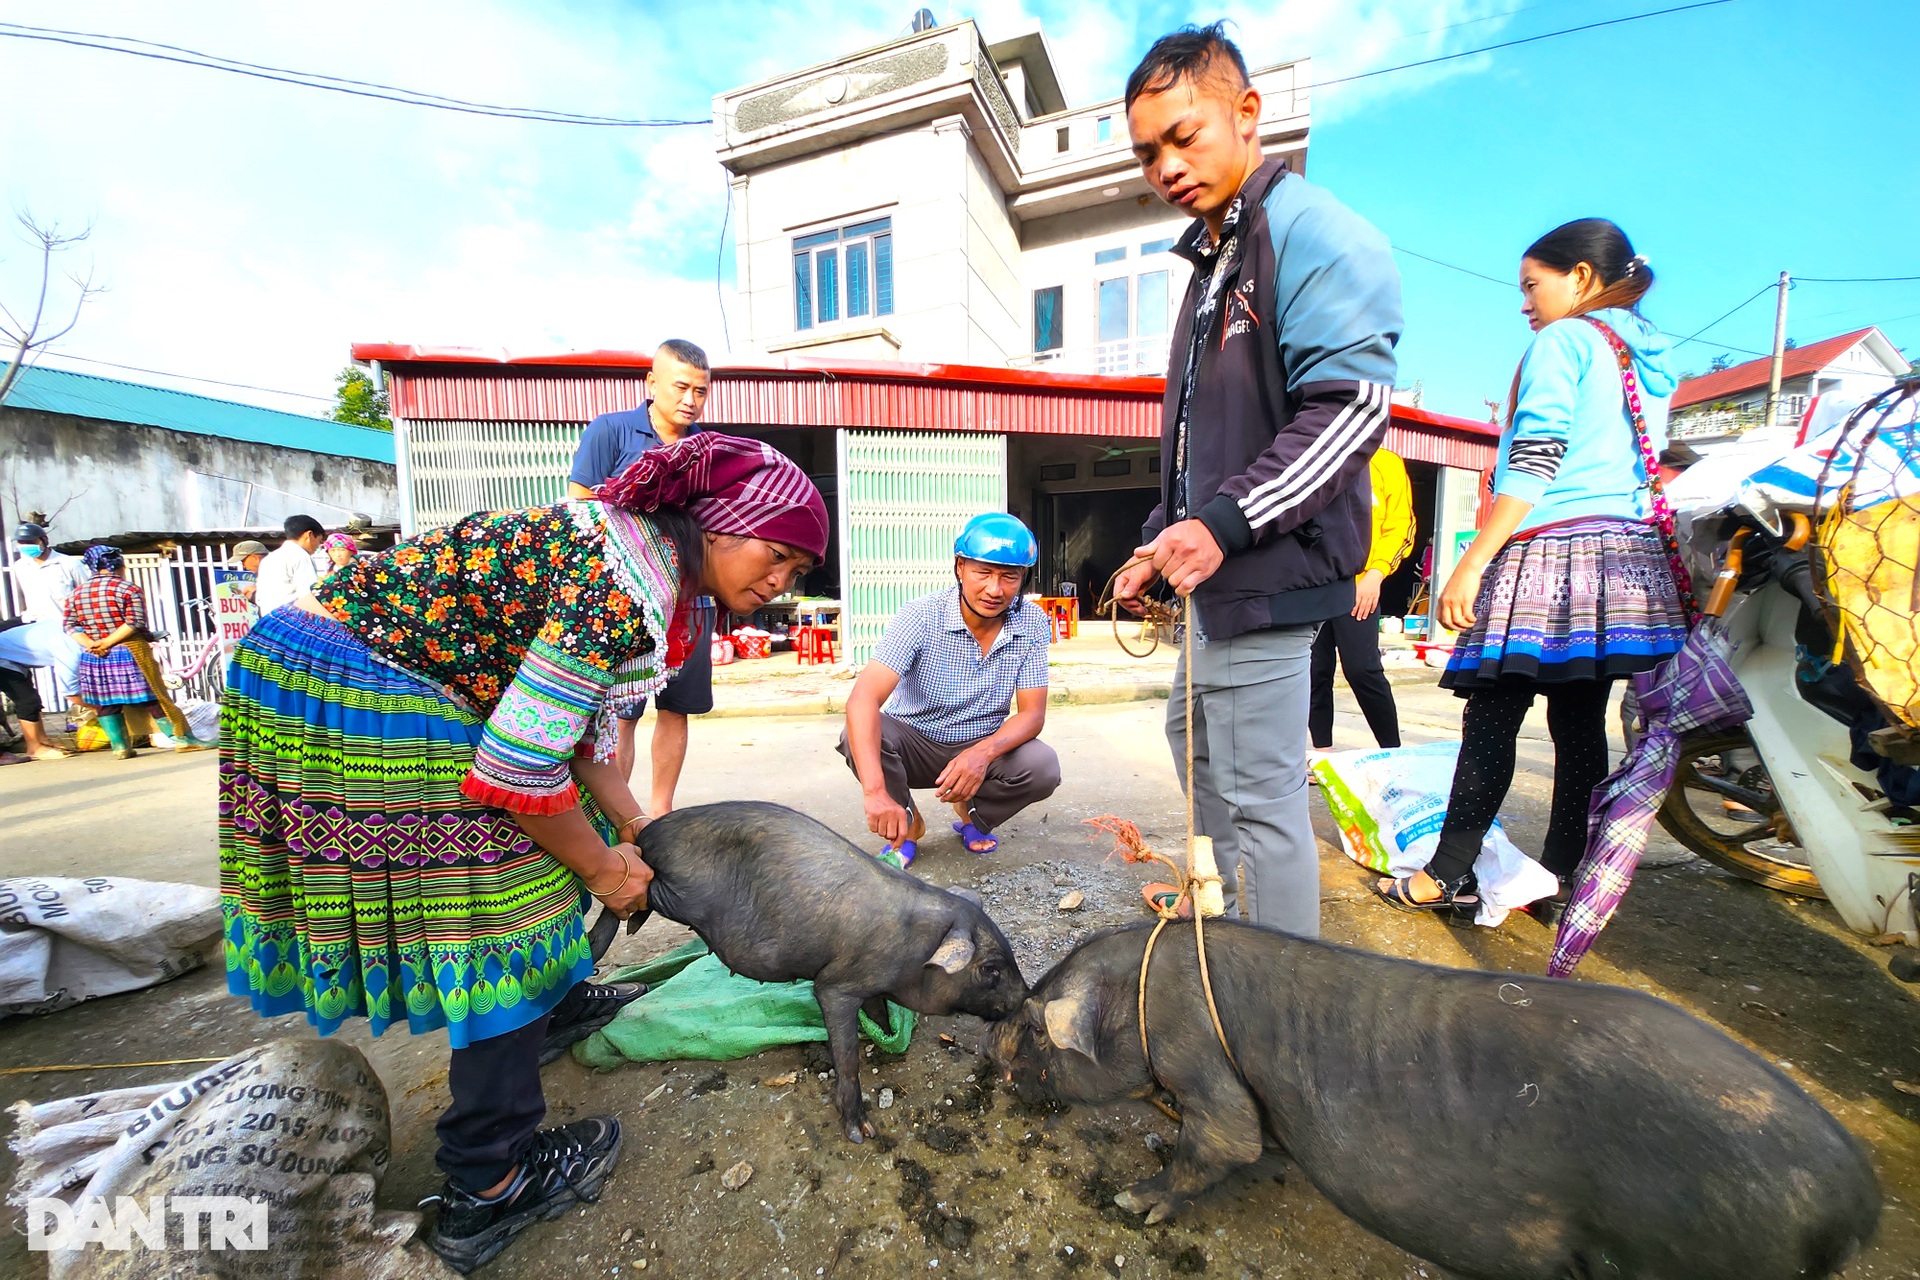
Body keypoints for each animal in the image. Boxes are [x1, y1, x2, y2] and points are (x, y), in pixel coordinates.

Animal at [599, 802, 1029, 1143]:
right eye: (990, 969)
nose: (1025, 997)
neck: (915, 951)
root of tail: (649, 833)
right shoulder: (835, 986)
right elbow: (848, 1056)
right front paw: (862, 1133)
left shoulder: (869, 983)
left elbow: (878, 1013)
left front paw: (888, 1041)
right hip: (681, 893)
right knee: (642, 888)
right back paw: (621, 921)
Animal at [990, 921, 1873, 1280]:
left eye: (1033, 1028)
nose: (994, 1059)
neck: (1140, 993)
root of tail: (1855, 1202)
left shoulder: (1198, 1053)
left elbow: (1225, 1141)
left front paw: (1134, 1200)